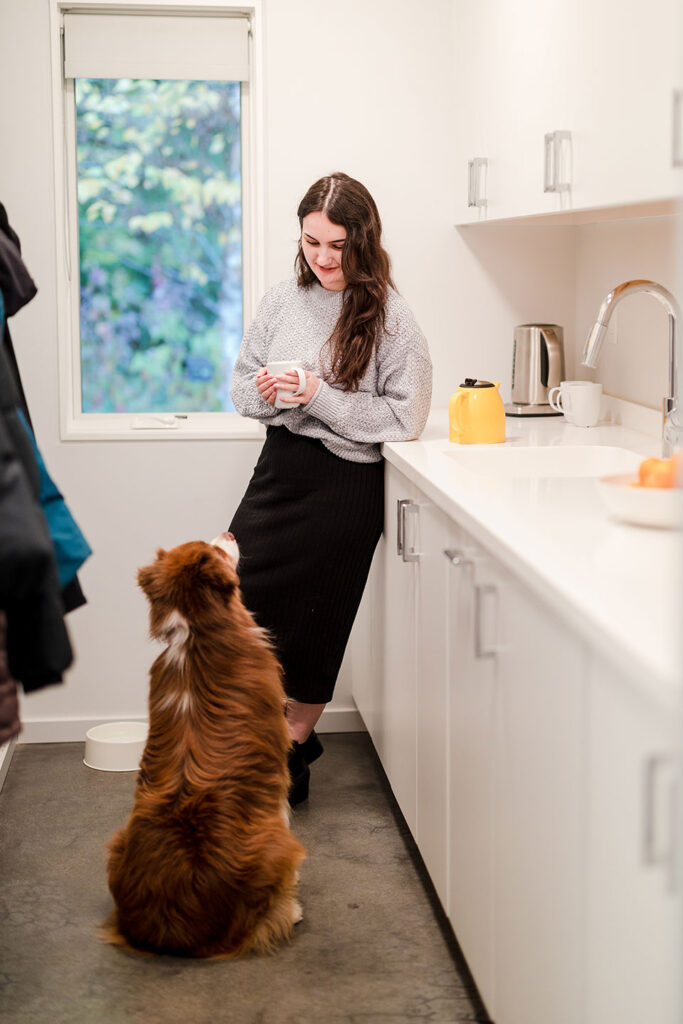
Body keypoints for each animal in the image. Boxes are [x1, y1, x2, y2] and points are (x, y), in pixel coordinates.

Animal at [101, 532, 305, 954]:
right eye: (214, 551)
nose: (229, 533)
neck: (197, 632)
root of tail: (175, 928)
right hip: (280, 847)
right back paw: (291, 909)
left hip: (116, 843)